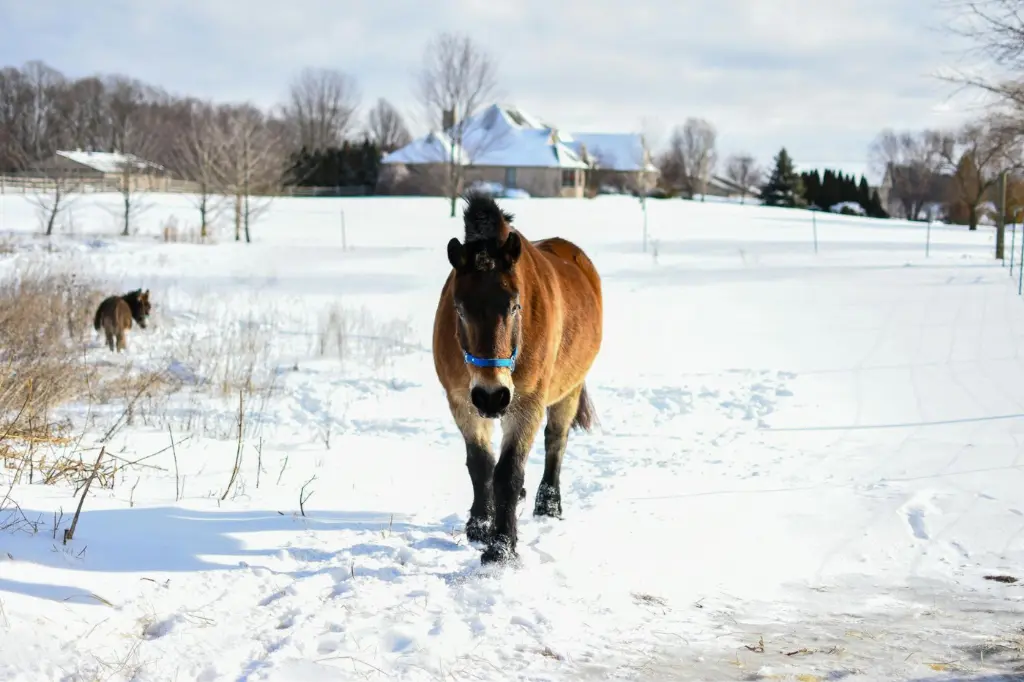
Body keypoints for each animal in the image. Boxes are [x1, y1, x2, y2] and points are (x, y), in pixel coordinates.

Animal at [432, 192, 603, 566]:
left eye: (515, 306)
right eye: (459, 308)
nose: (491, 395)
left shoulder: (527, 402)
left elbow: (508, 472)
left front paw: (501, 548)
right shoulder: (461, 401)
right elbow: (481, 466)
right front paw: (480, 527)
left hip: (568, 390)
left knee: (555, 441)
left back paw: (548, 505)